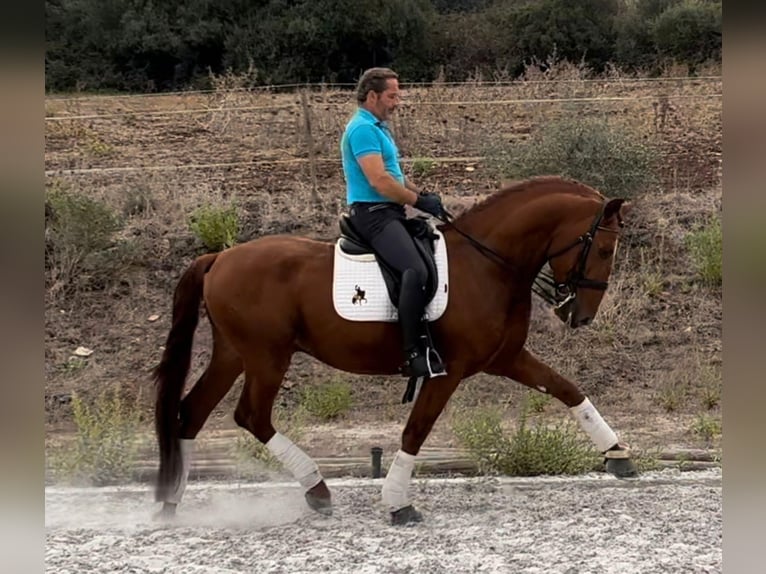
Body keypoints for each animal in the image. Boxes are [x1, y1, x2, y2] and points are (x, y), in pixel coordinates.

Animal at [153, 176, 640, 528]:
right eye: (603, 248)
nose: (581, 316)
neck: (488, 265)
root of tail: (219, 257)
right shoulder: (449, 370)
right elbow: (415, 431)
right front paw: (397, 504)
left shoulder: (505, 359)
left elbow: (568, 390)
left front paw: (618, 455)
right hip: (267, 356)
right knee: (251, 416)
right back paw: (317, 490)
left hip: (233, 354)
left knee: (192, 412)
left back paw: (171, 502)